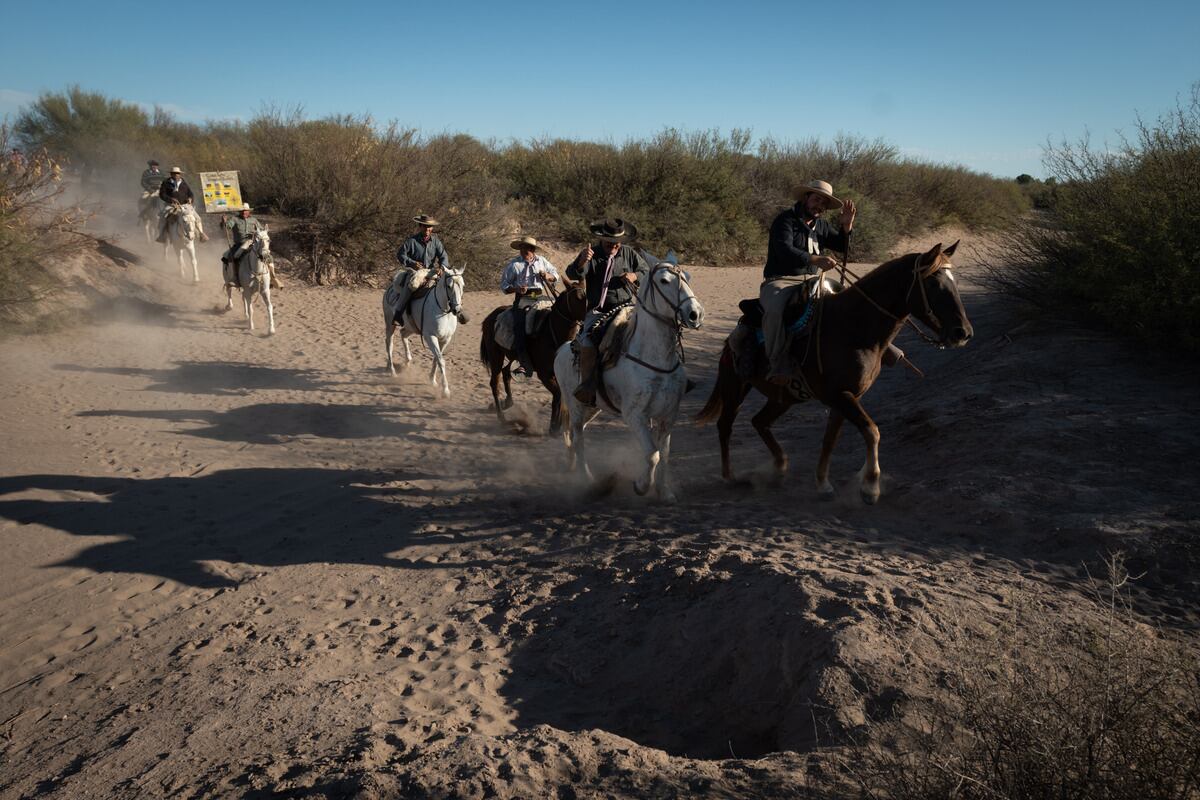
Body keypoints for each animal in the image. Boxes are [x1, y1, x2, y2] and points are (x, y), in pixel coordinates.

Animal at [384, 267, 463, 395]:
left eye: (462, 285)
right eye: (449, 286)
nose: (457, 310)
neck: (442, 311)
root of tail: (390, 289)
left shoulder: (445, 339)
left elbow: (437, 358)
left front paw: (432, 380)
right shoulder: (430, 336)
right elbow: (441, 360)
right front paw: (445, 390)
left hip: (412, 327)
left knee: (403, 334)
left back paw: (407, 361)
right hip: (390, 324)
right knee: (389, 344)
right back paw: (392, 371)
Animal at [480, 280, 588, 434]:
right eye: (578, 297)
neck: (552, 334)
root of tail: (489, 318)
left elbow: (561, 396)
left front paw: (557, 425)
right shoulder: (544, 375)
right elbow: (557, 395)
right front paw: (554, 426)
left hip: (512, 355)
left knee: (506, 373)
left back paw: (508, 402)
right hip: (496, 356)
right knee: (495, 382)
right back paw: (502, 418)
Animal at [552, 260, 700, 503]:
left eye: (687, 277)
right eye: (664, 281)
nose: (695, 314)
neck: (654, 358)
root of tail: (562, 349)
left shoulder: (667, 415)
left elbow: (663, 454)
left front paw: (664, 491)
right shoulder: (634, 415)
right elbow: (652, 454)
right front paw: (641, 486)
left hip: (593, 407)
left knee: (576, 434)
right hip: (575, 405)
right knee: (578, 438)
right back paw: (587, 480)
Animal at [700, 237, 969, 503]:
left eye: (954, 282)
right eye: (933, 283)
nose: (963, 333)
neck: (853, 328)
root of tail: (732, 336)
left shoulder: (846, 397)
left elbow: (831, 439)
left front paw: (823, 484)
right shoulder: (840, 395)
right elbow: (872, 431)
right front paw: (870, 487)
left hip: (783, 397)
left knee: (759, 422)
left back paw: (779, 468)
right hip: (735, 387)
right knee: (725, 425)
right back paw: (729, 476)